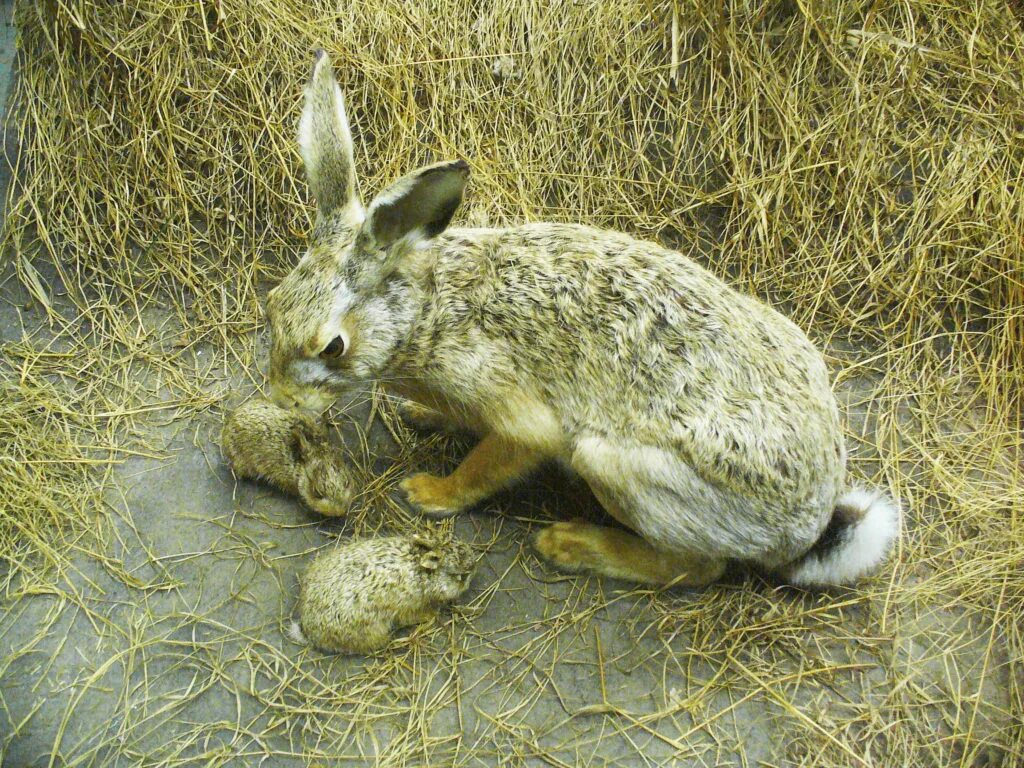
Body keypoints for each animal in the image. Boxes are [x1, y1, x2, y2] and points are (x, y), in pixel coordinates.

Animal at [265, 50, 900, 588]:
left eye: (332, 347)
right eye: (271, 306)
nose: (280, 399)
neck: (426, 313)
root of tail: (807, 526)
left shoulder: (513, 408)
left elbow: (497, 458)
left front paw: (431, 492)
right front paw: (421, 414)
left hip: (621, 469)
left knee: (698, 568)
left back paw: (571, 545)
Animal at [289, 530, 478, 654]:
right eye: (462, 576)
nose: (475, 565)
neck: (423, 573)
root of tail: (309, 630)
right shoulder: (409, 606)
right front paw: (432, 614)